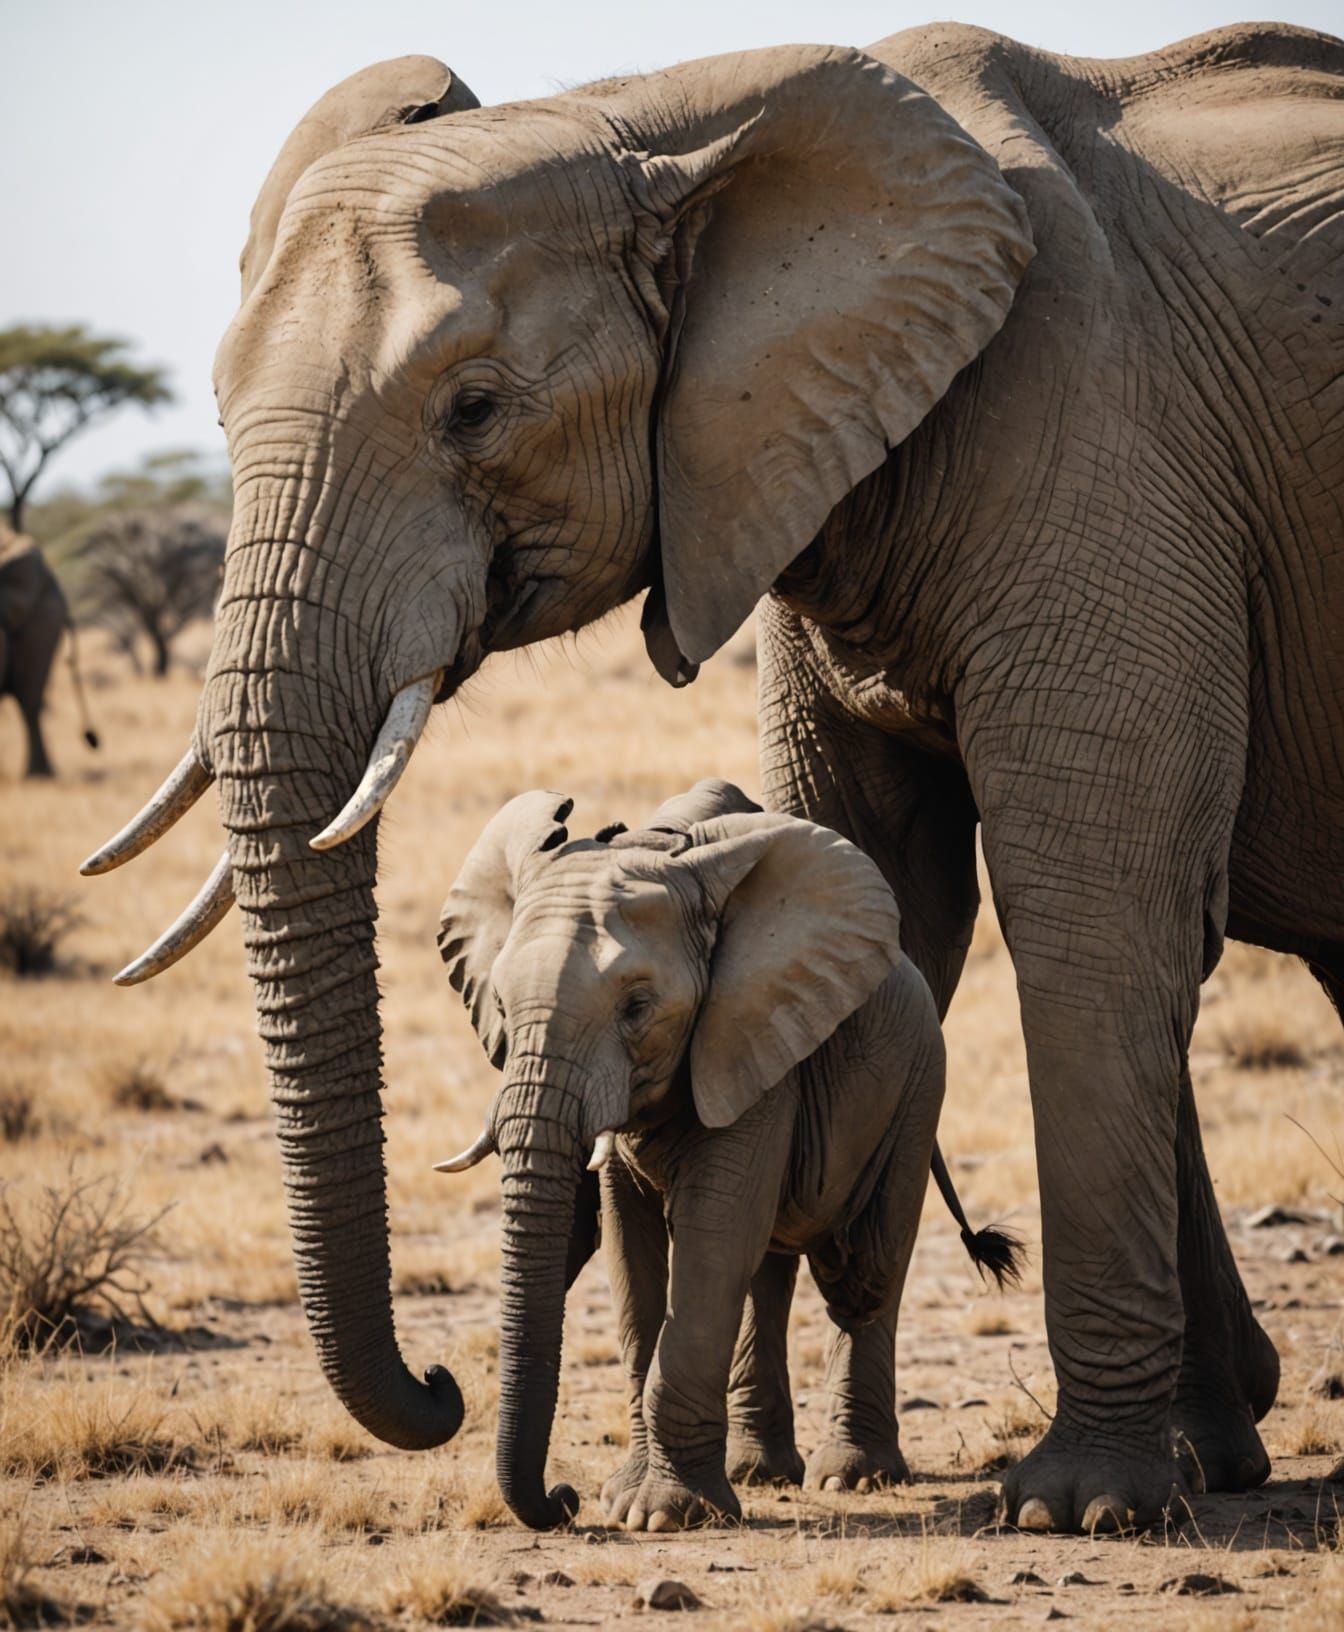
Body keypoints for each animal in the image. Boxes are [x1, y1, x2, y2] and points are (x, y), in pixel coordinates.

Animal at [434, 778, 1020, 1530]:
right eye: (502, 1007)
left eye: (637, 1008)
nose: (563, 1500)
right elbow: (634, 1258)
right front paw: (627, 1500)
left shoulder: (751, 1039)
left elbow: (713, 1237)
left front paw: (661, 1515)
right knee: (768, 1269)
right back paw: (758, 1471)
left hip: (919, 1081)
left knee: (867, 1270)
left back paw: (853, 1477)